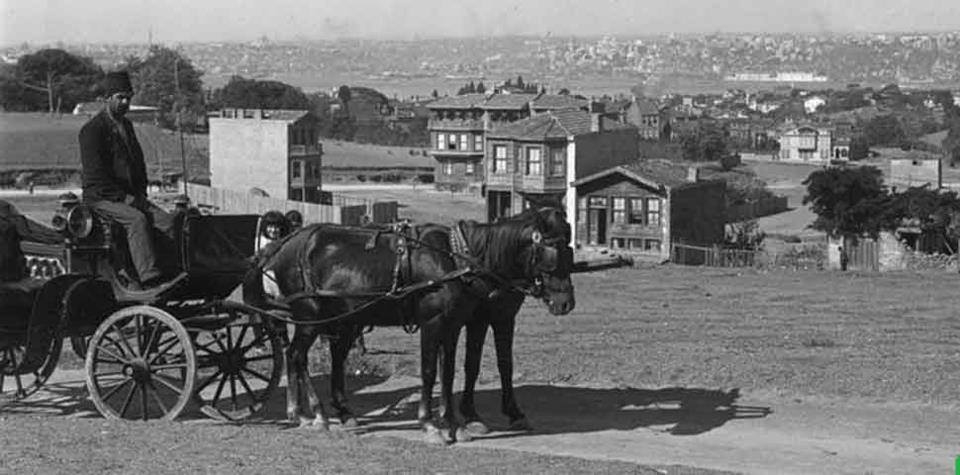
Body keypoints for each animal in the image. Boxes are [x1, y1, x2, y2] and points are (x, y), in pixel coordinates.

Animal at [248, 209, 572, 446]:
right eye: (552, 253)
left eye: (569, 251)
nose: (566, 302)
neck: (458, 260)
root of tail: (285, 243)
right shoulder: (434, 323)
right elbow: (429, 372)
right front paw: (430, 424)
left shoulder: (454, 325)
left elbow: (449, 372)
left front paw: (455, 424)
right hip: (310, 316)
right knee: (296, 355)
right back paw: (315, 415)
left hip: (339, 318)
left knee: (317, 356)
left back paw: (310, 412)